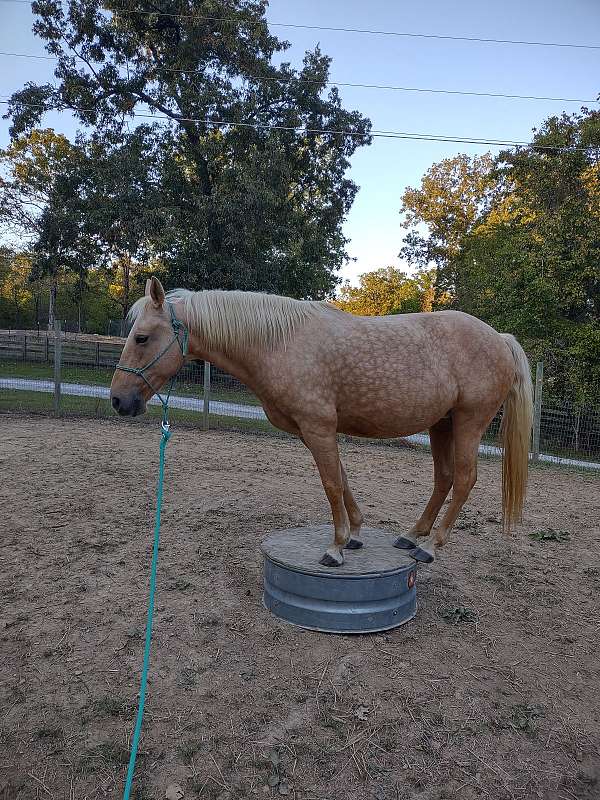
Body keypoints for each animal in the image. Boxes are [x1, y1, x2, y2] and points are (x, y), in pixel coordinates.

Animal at [110, 282, 532, 568]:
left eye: (142, 338)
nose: (118, 400)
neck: (280, 344)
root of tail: (500, 338)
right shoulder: (315, 431)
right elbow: (342, 478)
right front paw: (356, 534)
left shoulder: (318, 427)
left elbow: (331, 483)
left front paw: (337, 546)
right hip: (441, 425)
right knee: (443, 478)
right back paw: (412, 536)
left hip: (468, 422)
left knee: (463, 479)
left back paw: (429, 546)